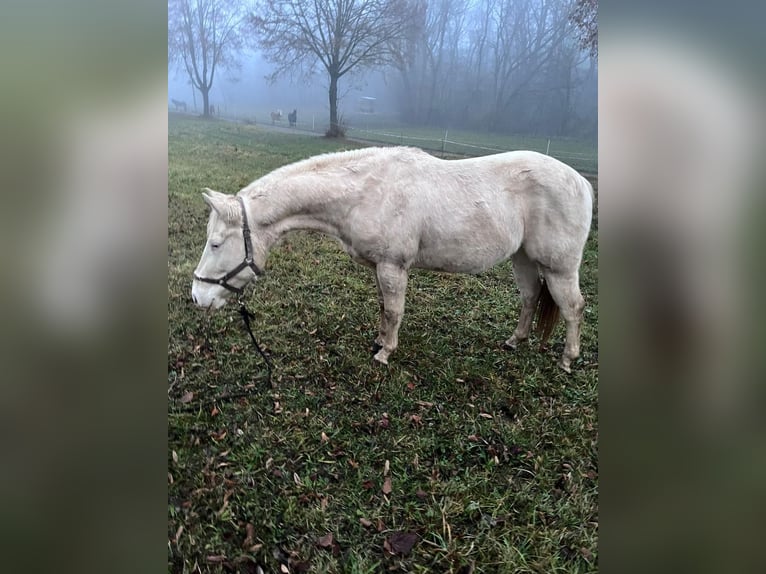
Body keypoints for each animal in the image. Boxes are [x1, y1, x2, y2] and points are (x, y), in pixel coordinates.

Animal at [191, 147, 593, 372]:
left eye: (215, 244)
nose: (198, 297)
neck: (367, 190)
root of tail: (582, 182)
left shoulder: (392, 266)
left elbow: (394, 310)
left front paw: (385, 353)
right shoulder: (379, 268)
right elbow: (384, 308)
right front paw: (379, 341)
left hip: (559, 267)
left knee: (573, 307)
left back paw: (567, 360)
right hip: (523, 258)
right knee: (530, 297)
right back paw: (515, 341)